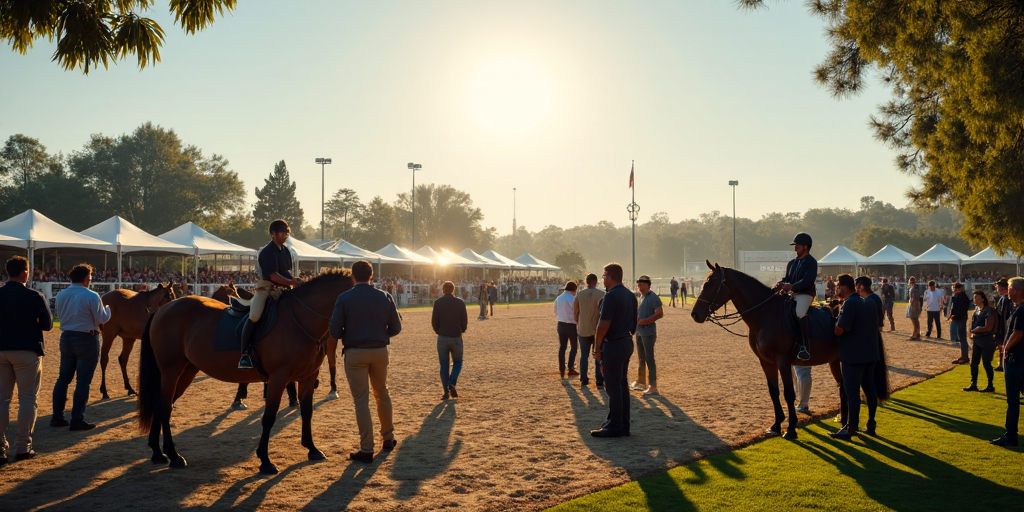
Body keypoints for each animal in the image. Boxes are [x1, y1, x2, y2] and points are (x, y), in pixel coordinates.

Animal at [138, 270, 356, 473]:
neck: (300, 320)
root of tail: (163, 309)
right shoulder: (278, 378)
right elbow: (269, 418)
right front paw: (265, 461)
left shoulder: (308, 378)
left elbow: (307, 412)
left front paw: (312, 449)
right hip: (170, 372)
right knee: (165, 407)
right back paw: (173, 455)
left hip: (186, 372)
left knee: (162, 405)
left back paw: (157, 453)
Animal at [692, 262, 892, 438]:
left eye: (711, 284)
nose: (695, 314)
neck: (766, 315)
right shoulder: (766, 362)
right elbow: (773, 392)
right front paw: (775, 425)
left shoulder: (783, 361)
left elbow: (789, 393)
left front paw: (790, 429)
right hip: (835, 360)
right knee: (843, 387)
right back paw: (844, 421)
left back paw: (860, 426)